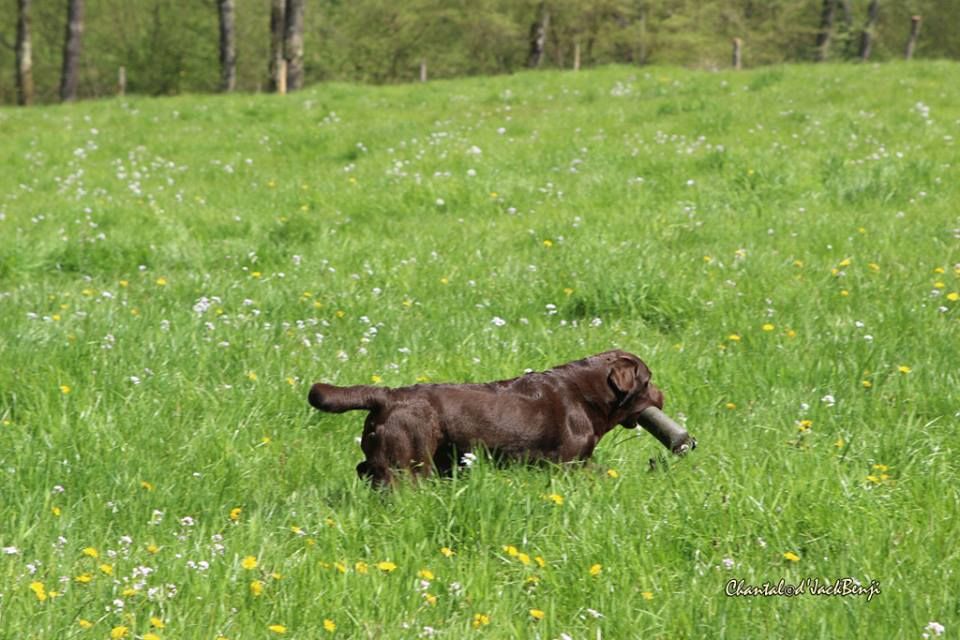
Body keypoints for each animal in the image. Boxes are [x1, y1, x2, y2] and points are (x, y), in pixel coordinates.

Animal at [308, 350, 688, 484]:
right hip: (409, 462)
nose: (664, 397)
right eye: (648, 381)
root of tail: (387, 395)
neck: (587, 394)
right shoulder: (568, 464)